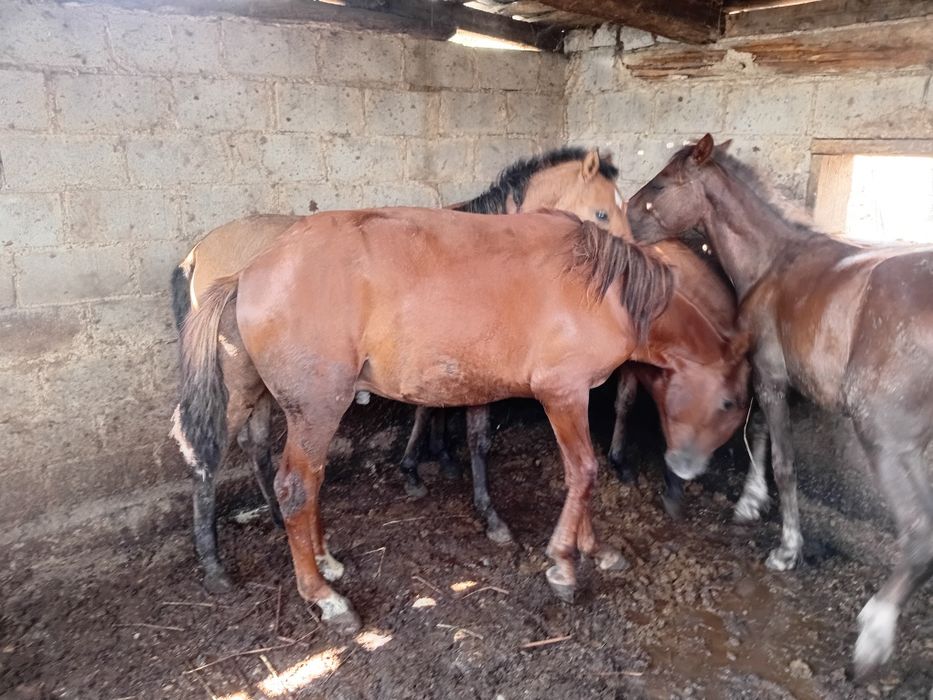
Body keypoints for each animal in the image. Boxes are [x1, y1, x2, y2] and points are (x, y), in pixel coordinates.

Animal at [178, 207, 683, 631]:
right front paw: (565, 564)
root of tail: (247, 272)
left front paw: (594, 549)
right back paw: (319, 595)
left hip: (267, 399)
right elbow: (584, 473)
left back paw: (321, 561)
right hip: (314, 408)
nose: (684, 470)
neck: (601, 286)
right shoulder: (563, 393)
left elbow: (580, 475)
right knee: (289, 486)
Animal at [626, 133, 933, 680]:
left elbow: (784, 461)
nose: (623, 214)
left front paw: (787, 548)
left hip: (887, 442)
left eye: (662, 184)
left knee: (919, 534)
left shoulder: (769, 377)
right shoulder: (774, 381)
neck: (773, 263)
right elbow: (761, 437)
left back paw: (873, 636)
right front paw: (750, 502)